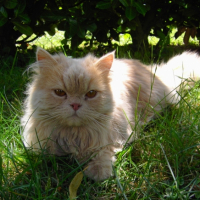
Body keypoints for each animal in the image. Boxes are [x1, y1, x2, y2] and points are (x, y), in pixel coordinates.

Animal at [21, 47, 200, 181]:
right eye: (60, 92)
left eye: (91, 94)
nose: (75, 105)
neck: (74, 135)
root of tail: (150, 70)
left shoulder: (116, 136)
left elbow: (104, 152)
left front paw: (98, 173)